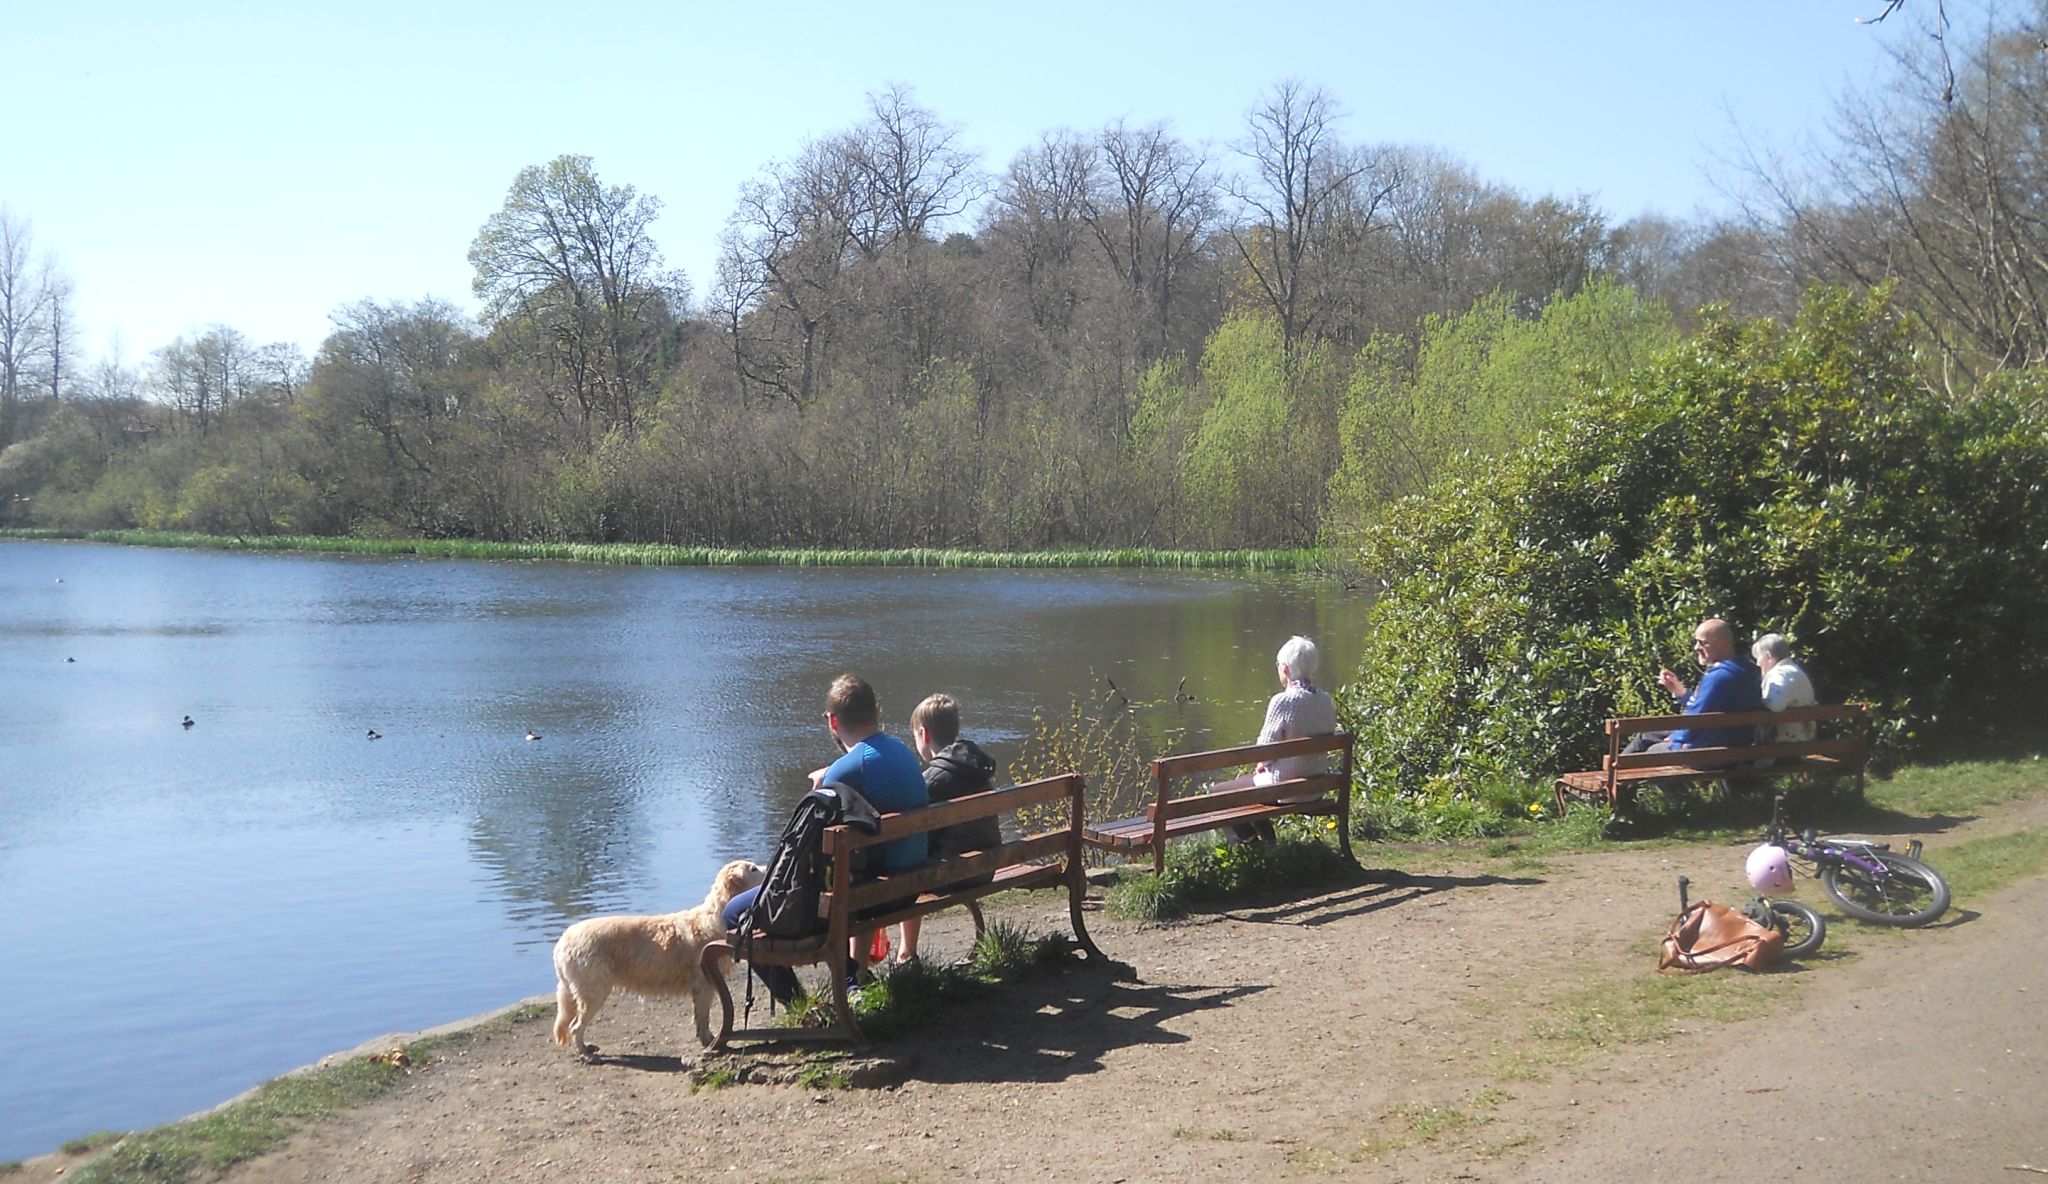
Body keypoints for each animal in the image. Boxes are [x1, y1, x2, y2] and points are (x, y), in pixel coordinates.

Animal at [548, 852, 765, 1056]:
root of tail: (562, 941)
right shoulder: (704, 985)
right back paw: (586, 1052)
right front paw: (711, 1042)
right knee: (576, 1027)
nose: (767, 865)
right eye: (753, 869)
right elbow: (703, 1018)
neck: (716, 916)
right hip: (595, 990)